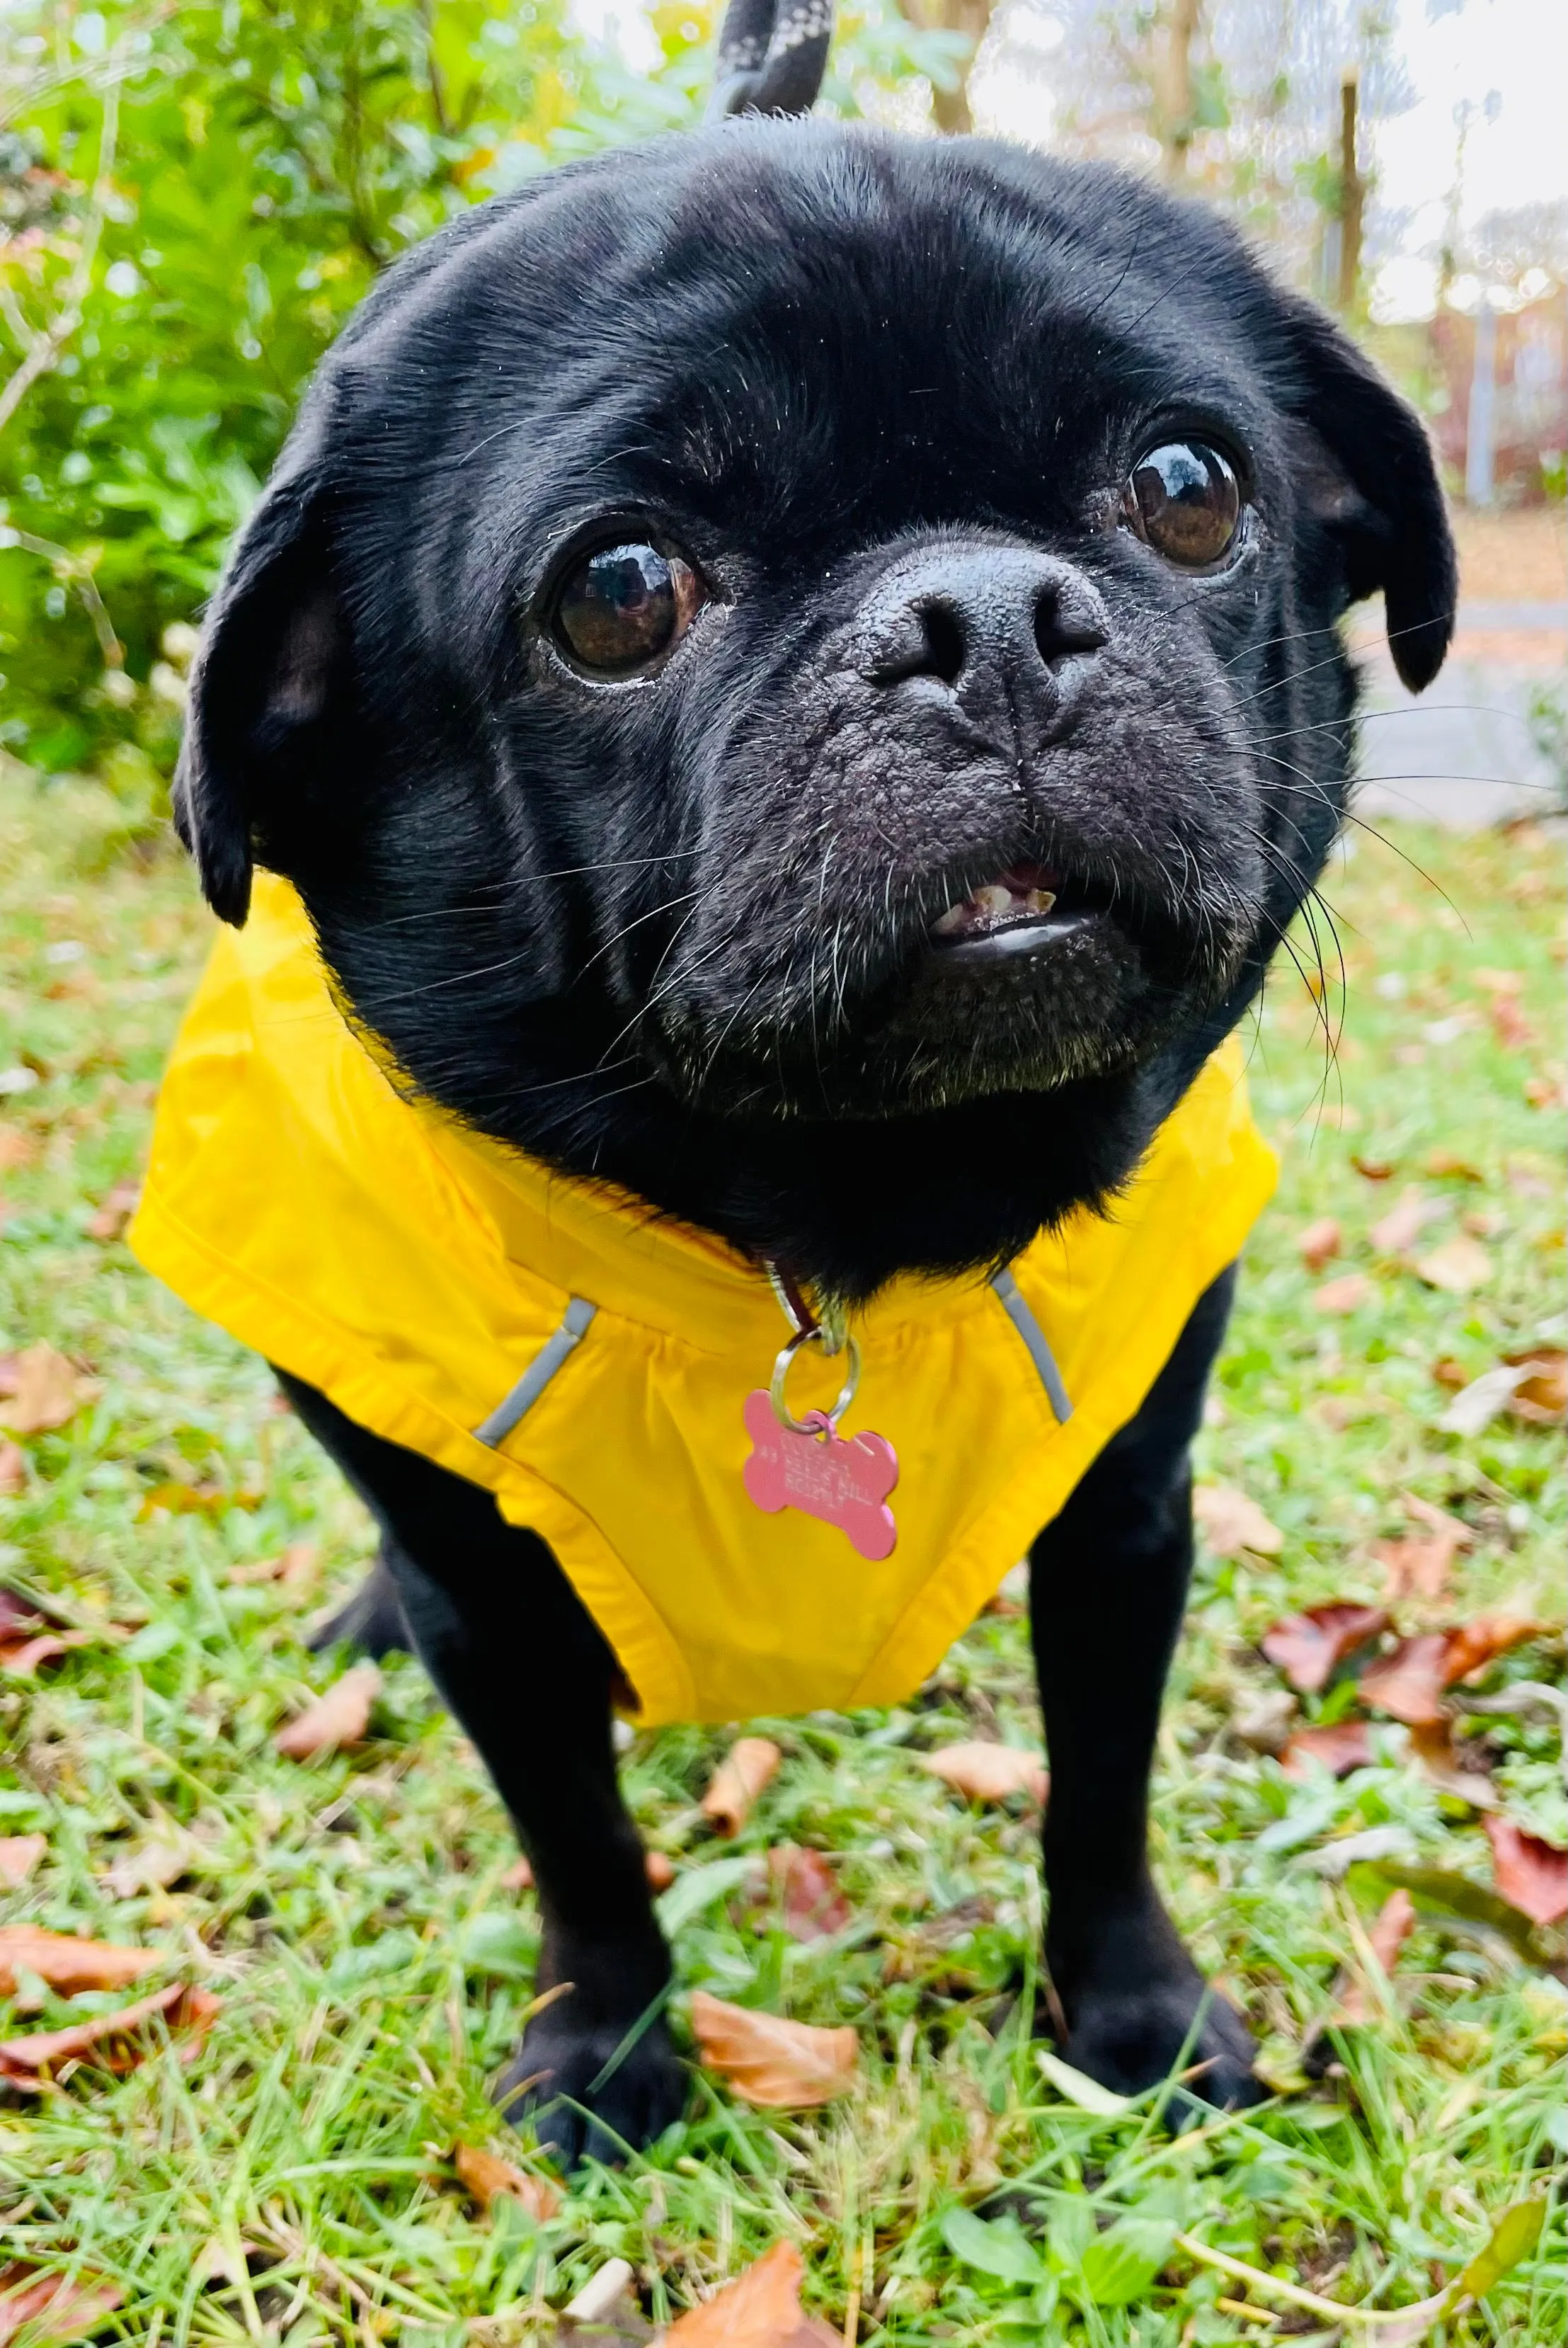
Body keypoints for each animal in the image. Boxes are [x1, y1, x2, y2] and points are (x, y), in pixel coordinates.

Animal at [152, 106, 1455, 2160]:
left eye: (1187, 485)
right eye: (614, 592)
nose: (982, 622)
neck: (831, 1229)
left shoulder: (1124, 1524)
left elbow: (1100, 1796)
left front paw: (1134, 2016)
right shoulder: (495, 1617)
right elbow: (577, 1844)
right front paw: (606, 2052)